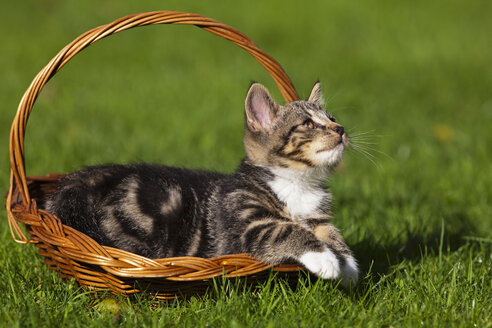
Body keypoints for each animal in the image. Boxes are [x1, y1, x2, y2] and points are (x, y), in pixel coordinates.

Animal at [45, 82, 358, 284]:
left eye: (331, 118)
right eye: (309, 124)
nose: (341, 129)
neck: (297, 183)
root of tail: (86, 179)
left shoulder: (319, 217)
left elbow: (331, 233)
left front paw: (348, 265)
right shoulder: (245, 222)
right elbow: (286, 230)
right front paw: (326, 260)